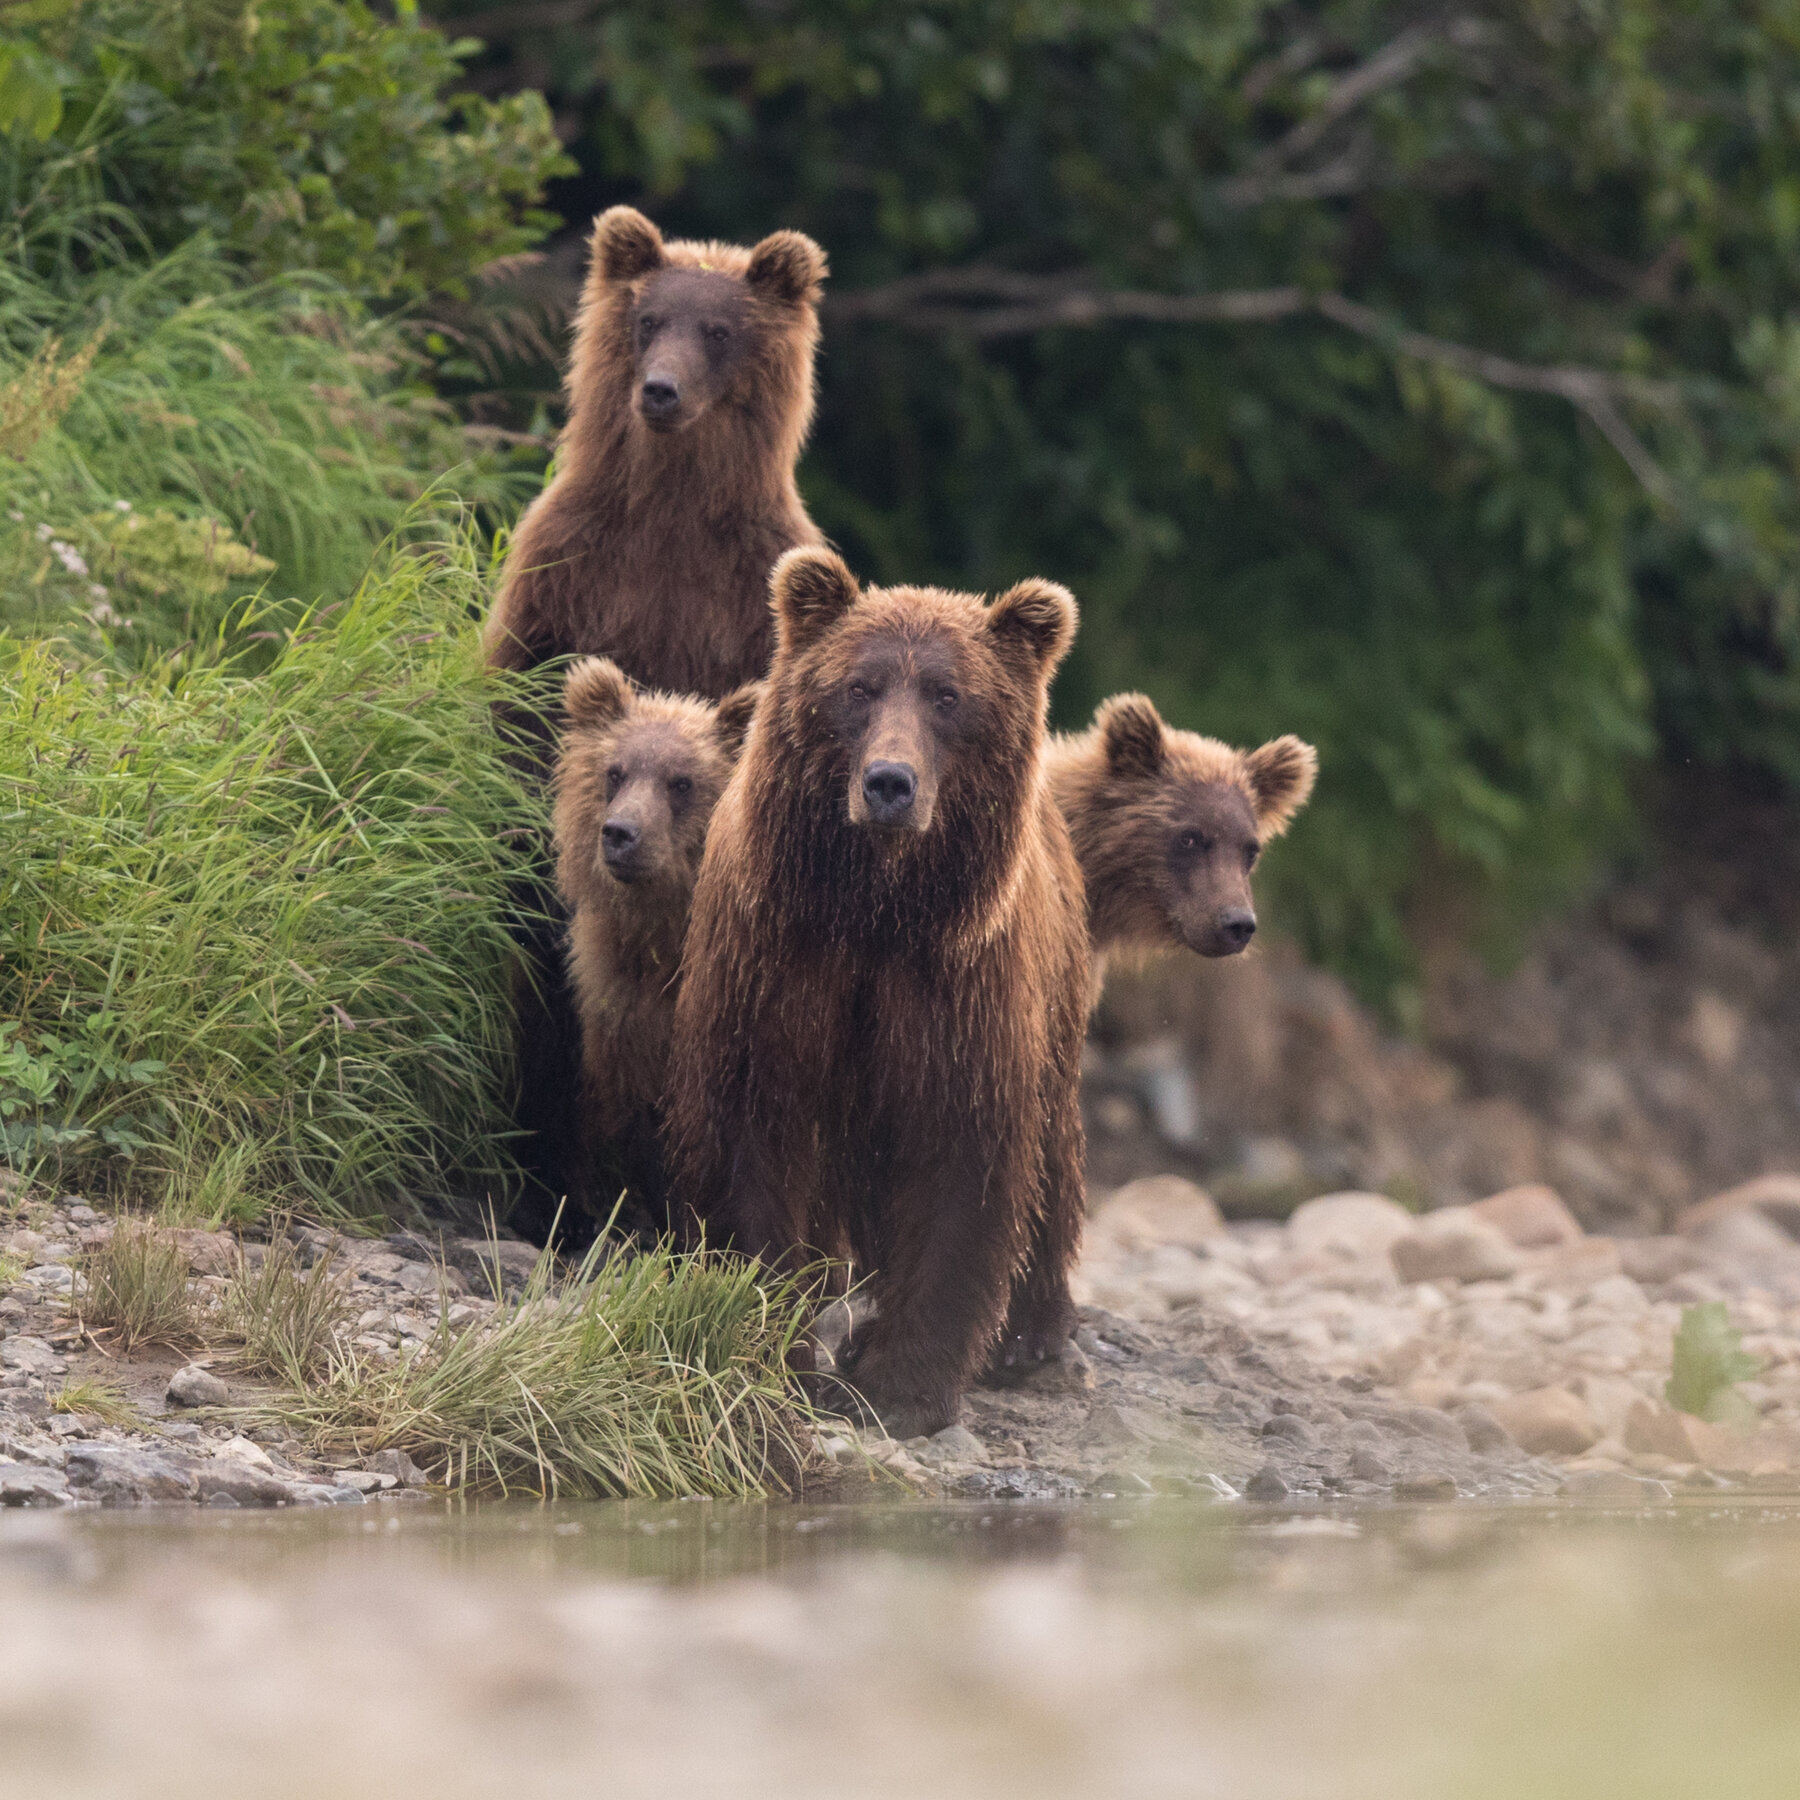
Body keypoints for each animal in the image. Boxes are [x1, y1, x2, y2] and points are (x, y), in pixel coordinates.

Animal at [482, 204, 829, 701]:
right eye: (649, 319)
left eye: (718, 331)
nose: (661, 390)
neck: (671, 496)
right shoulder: (565, 567)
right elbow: (525, 679)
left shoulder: (752, 581)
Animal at [663, 547, 1091, 1438]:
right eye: (858, 687)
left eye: (949, 695)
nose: (891, 782)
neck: (875, 909)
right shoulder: (775, 966)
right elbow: (751, 1141)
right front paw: (776, 1344)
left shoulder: (958, 987)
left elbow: (963, 1157)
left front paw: (901, 1386)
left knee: (1052, 1150)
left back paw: (1033, 1332)